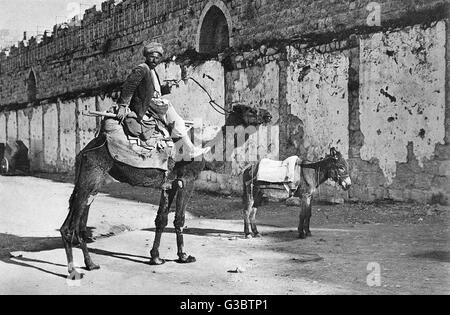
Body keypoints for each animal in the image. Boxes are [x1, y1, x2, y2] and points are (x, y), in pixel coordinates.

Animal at [59, 105, 270, 278]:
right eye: (251, 109)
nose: (268, 114)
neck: (204, 150)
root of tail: (84, 151)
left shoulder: (170, 183)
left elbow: (161, 219)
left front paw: (155, 258)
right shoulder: (187, 180)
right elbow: (179, 219)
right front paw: (184, 256)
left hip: (88, 178)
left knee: (75, 215)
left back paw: (88, 264)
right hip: (93, 174)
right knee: (72, 223)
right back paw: (78, 269)